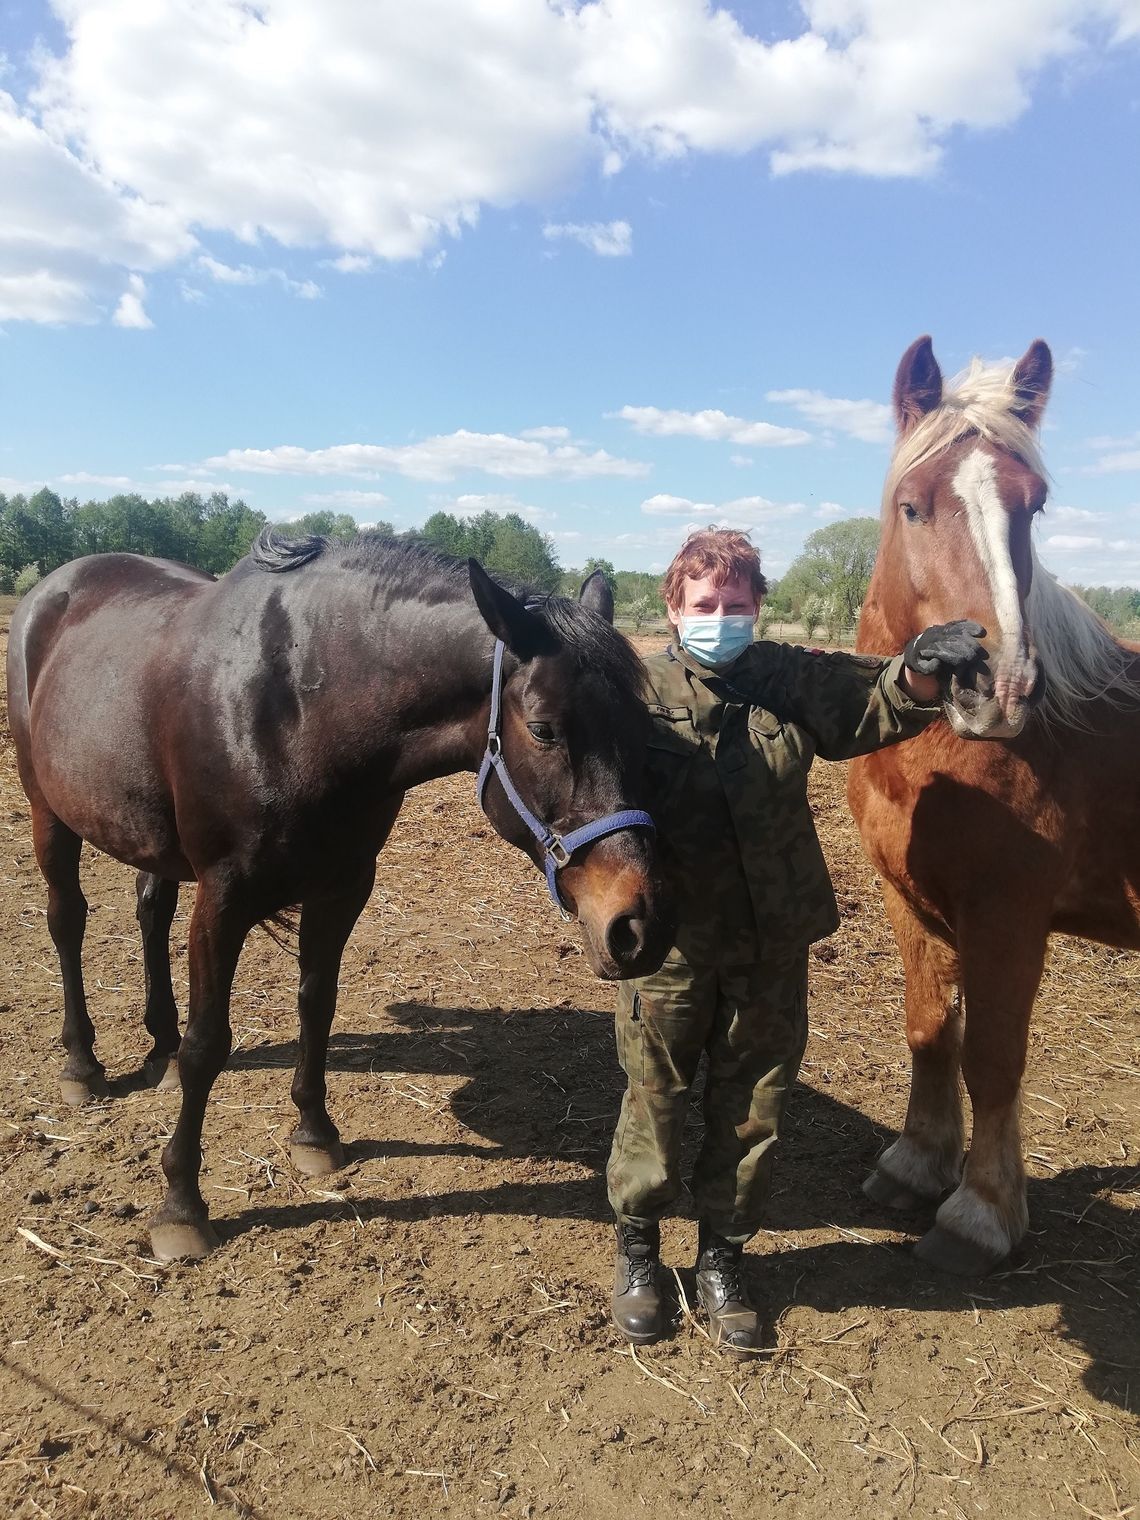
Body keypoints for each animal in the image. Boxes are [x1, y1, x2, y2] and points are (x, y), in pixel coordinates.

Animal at [8, 535, 668, 1258]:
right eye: (546, 728)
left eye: (643, 729)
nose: (637, 925)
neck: (301, 704)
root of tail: (53, 589)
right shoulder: (222, 898)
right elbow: (209, 1044)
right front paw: (181, 1204)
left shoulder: (345, 886)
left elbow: (316, 1006)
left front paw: (314, 1132)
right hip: (48, 812)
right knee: (67, 921)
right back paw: (82, 1064)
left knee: (149, 909)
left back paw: (159, 1041)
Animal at [851, 338, 1140, 1276]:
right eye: (912, 506)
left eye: (1034, 504)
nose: (1000, 686)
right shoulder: (909, 903)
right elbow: (931, 1029)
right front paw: (916, 1167)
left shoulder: (1009, 915)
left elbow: (995, 1056)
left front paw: (980, 1214)